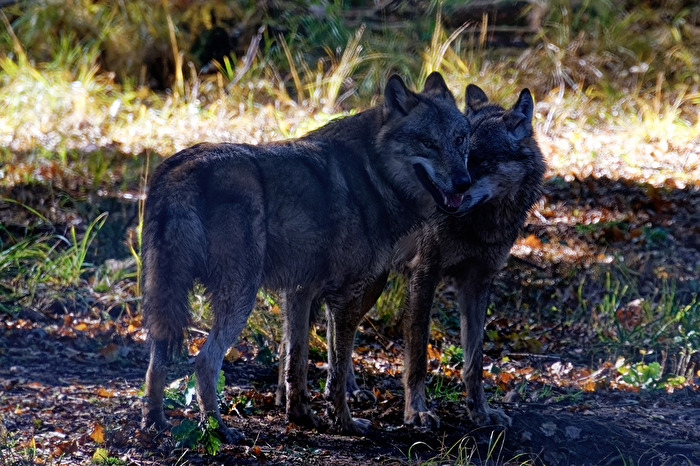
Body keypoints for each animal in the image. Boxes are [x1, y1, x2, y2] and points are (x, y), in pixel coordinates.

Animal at [140, 72, 472, 442]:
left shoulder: (301, 292)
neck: (372, 172)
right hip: (240, 298)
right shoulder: (345, 297)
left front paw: (301, 415)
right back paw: (218, 429)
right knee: (204, 361)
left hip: (167, 299)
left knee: (156, 361)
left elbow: (295, 360)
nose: (464, 182)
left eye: (460, 139)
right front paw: (344, 422)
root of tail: (179, 169)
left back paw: (154, 423)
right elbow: (337, 369)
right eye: (427, 142)